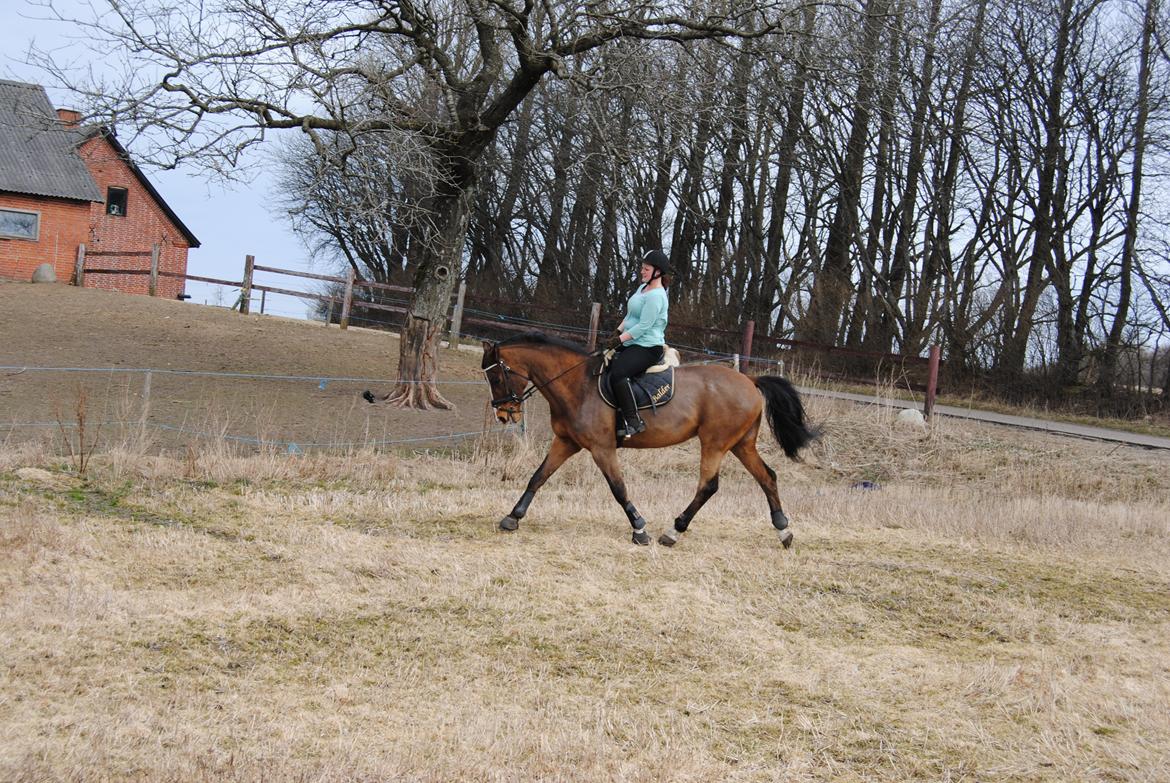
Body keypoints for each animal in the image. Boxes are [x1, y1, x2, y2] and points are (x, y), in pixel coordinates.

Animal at [482, 332, 814, 547]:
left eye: (496, 377)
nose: (504, 414)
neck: (577, 384)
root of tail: (750, 380)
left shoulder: (601, 448)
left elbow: (618, 489)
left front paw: (640, 530)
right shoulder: (566, 443)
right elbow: (537, 477)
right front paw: (512, 517)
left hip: (715, 443)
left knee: (709, 486)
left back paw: (674, 531)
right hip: (741, 444)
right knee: (767, 477)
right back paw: (783, 531)